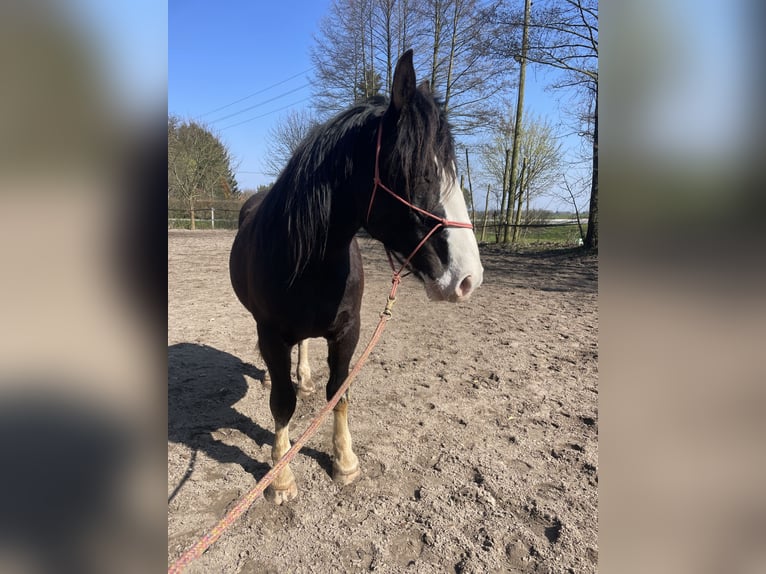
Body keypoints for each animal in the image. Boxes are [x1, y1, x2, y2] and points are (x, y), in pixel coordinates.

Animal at [229, 50, 483, 504]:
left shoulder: (348, 330)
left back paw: (305, 378)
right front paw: (280, 477)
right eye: (417, 172)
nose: (468, 278)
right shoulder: (272, 334)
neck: (310, 261)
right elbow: (281, 404)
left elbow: (339, 392)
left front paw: (344, 462)